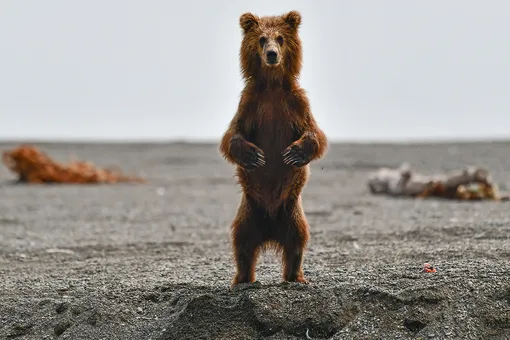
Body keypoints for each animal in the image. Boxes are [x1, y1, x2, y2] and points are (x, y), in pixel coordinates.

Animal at [218, 9, 326, 286]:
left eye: (280, 38)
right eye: (261, 39)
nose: (272, 54)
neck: (272, 85)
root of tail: (269, 230)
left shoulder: (296, 103)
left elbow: (315, 134)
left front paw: (295, 153)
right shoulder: (250, 103)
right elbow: (231, 135)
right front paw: (253, 156)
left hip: (292, 212)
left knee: (297, 242)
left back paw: (296, 276)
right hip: (248, 212)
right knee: (242, 243)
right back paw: (242, 278)